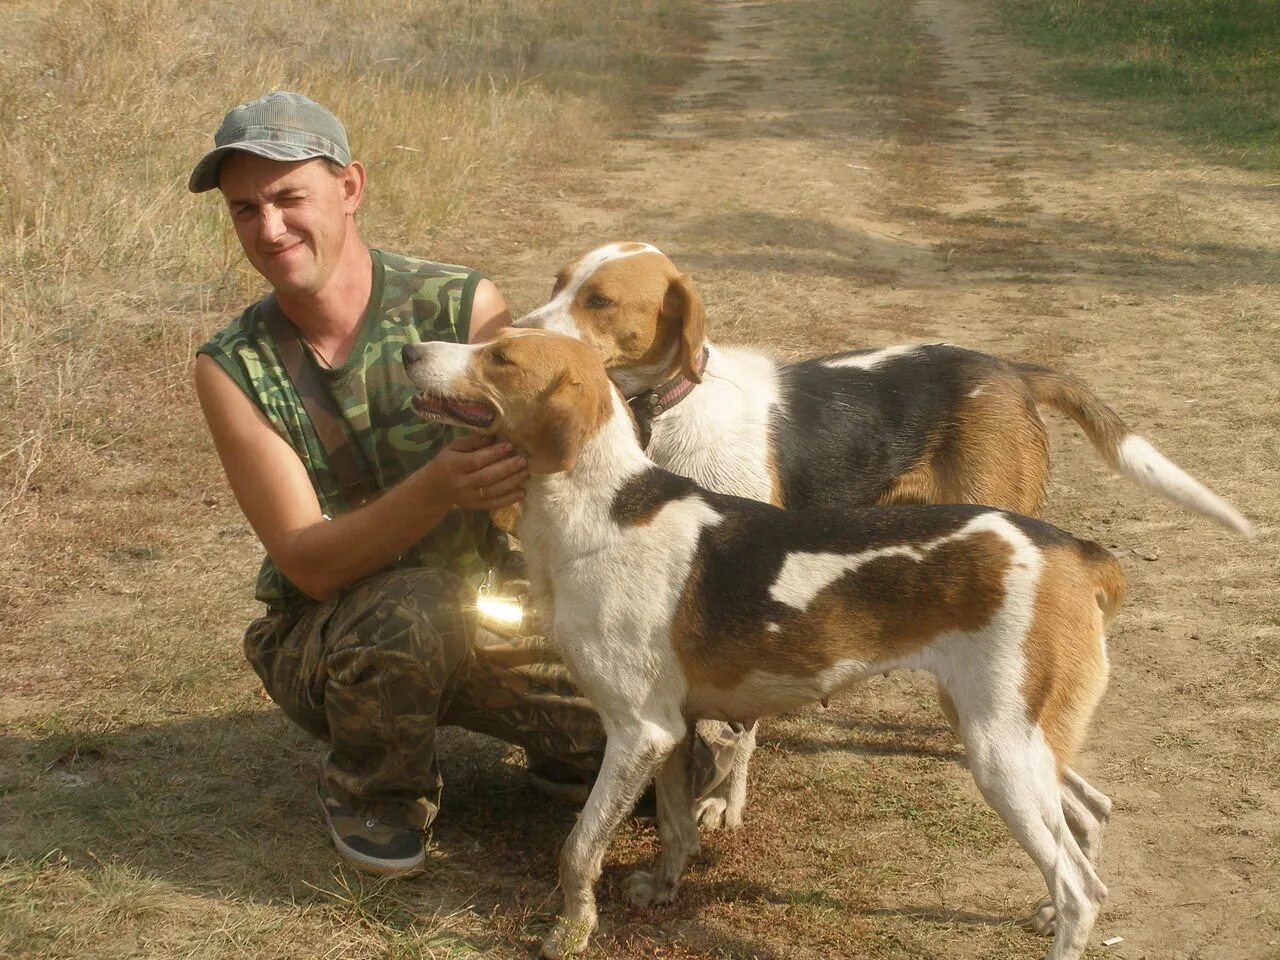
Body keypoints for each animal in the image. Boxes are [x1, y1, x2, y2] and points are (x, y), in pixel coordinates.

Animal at [404, 330, 1126, 960]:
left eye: (500, 356)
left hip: (999, 750)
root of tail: (1077, 551)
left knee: (1083, 889)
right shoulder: (670, 731)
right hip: (1006, 734)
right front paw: (662, 890)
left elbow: (578, 849)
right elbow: (675, 827)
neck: (602, 506)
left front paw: (570, 931)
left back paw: (1064, 914)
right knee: (1092, 813)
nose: (409, 351)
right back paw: (1046, 907)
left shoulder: (636, 733)